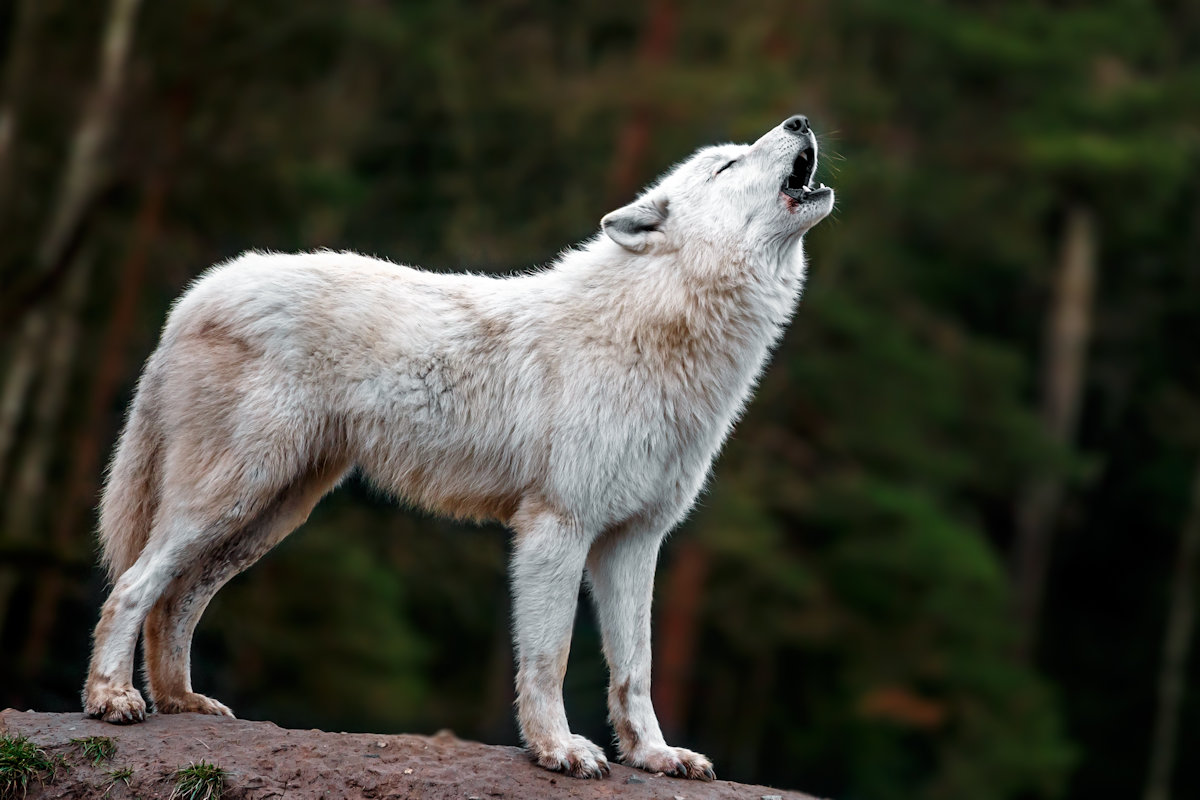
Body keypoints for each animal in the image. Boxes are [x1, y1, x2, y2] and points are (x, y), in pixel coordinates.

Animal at [83, 115, 834, 780]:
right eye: (727, 165)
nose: (800, 121)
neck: (655, 329)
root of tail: (196, 293)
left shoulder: (635, 540)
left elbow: (635, 670)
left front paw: (654, 756)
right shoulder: (556, 528)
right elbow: (550, 658)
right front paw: (558, 750)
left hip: (269, 515)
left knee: (175, 601)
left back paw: (181, 702)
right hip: (231, 496)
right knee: (132, 588)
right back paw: (112, 698)